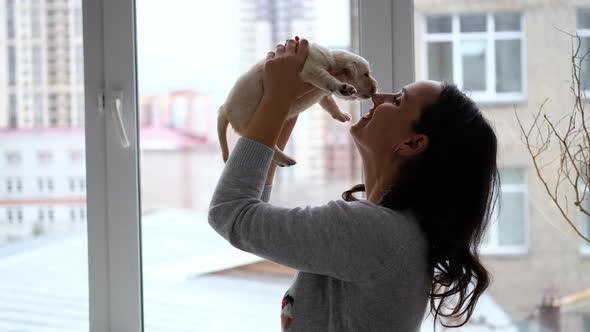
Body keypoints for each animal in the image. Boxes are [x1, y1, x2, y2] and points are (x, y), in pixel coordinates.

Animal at [219, 42, 380, 166]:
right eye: (366, 74)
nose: (375, 89)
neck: (333, 61)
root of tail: (224, 108)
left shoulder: (320, 92)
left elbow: (329, 103)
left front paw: (340, 114)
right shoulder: (313, 68)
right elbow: (327, 79)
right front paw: (343, 87)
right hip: (249, 122)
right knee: (270, 147)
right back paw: (286, 159)